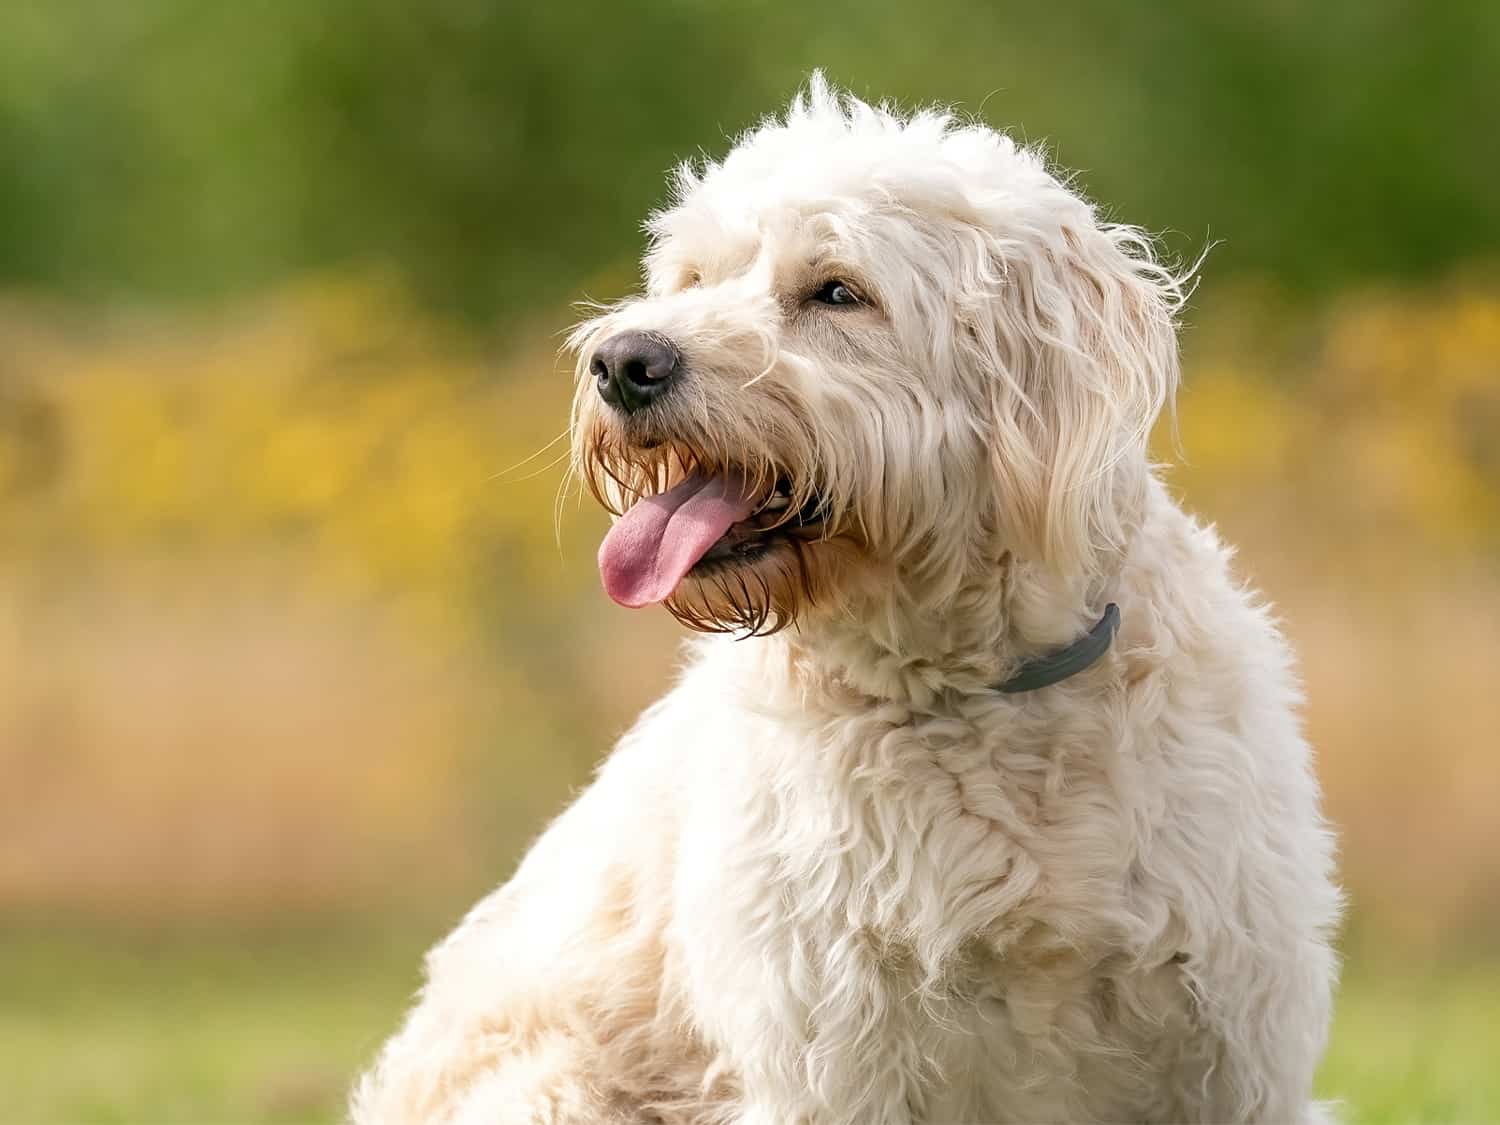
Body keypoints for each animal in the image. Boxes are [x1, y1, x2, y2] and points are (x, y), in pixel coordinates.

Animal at [357, 75, 1344, 1122]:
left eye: (838, 290)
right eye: (694, 278)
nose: (623, 362)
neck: (976, 696)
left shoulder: (1235, 1055)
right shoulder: (831, 1061)